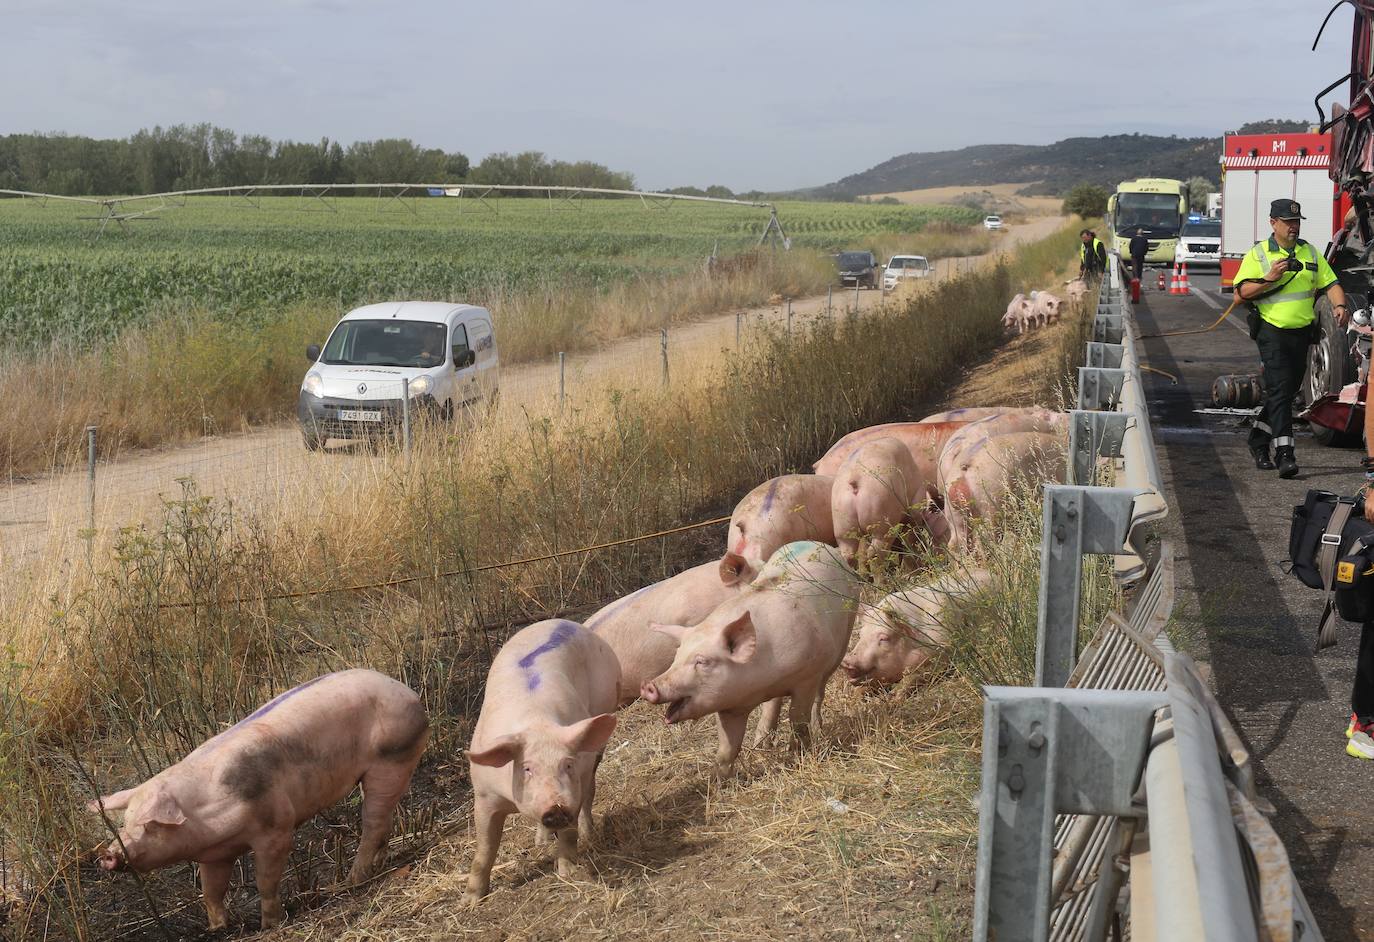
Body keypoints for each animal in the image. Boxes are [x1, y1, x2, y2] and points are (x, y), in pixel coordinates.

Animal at [87, 675, 428, 933]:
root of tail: (411, 694)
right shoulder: (215, 854)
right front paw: (217, 928)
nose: (107, 854)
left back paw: (349, 883)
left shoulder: (275, 828)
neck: (206, 819)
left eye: (149, 824)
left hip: (391, 760)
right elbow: (210, 890)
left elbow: (266, 880)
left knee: (374, 823)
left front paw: (269, 925)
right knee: (385, 821)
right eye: (125, 821)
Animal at [464, 620, 621, 906]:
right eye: (527, 768)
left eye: (567, 764)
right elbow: (485, 848)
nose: (555, 807)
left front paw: (569, 873)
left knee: (589, 794)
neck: (537, 725)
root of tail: (567, 623)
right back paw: (541, 842)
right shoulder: (483, 794)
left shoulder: (576, 783)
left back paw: (589, 836)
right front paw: (470, 902)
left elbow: (570, 831)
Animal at [640, 543, 857, 779]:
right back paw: (761, 744)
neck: (759, 685)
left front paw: (796, 754)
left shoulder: (808, 676)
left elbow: (798, 720)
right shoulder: (729, 705)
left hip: (844, 635)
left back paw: (817, 729)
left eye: (702, 661)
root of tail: (821, 545)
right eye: (676, 657)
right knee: (773, 704)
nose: (648, 686)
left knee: (820, 692)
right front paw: (717, 781)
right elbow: (727, 748)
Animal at [829, 436, 928, 565]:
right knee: (875, 553)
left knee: (851, 555)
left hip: (842, 524)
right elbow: (911, 537)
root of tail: (855, 478)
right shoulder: (915, 504)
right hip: (881, 515)